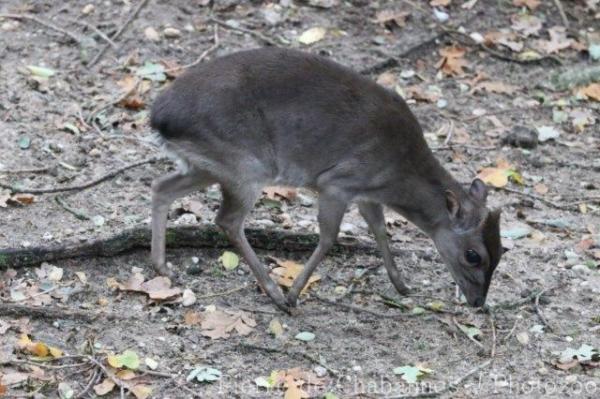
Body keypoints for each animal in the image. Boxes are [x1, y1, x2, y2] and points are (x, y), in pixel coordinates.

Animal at [150, 47, 502, 312]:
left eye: (502, 253)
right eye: (473, 256)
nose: (478, 302)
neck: (397, 175)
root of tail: (158, 117)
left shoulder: (365, 194)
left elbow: (380, 230)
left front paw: (401, 285)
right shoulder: (337, 182)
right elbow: (330, 237)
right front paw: (294, 294)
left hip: (208, 165)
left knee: (161, 187)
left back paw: (162, 266)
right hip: (246, 165)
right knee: (227, 220)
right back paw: (275, 293)